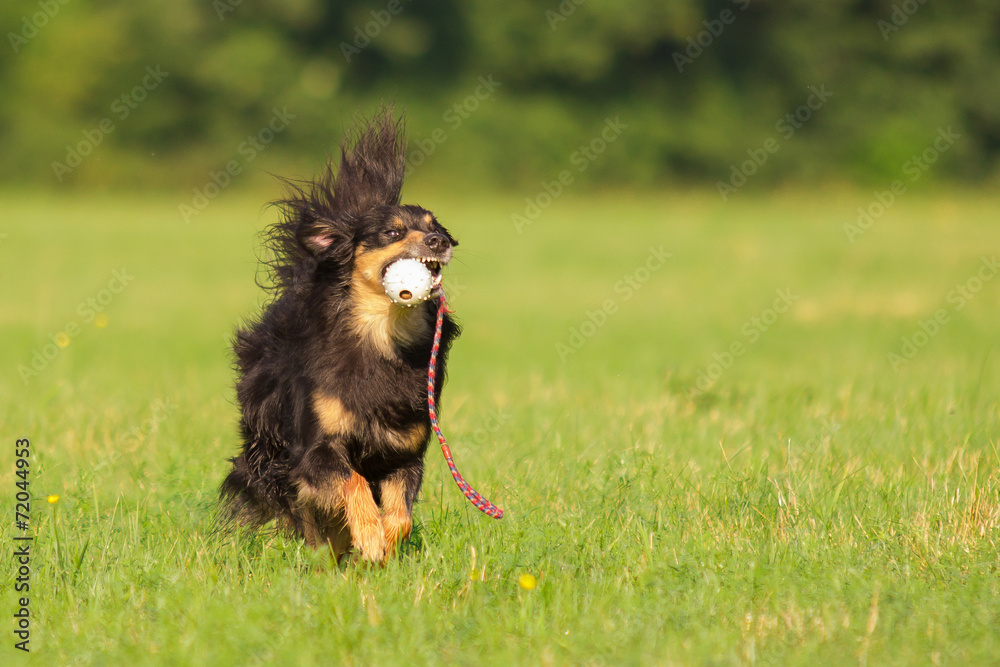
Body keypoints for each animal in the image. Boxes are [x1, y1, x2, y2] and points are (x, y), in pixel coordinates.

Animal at [221, 111, 458, 564]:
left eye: (435, 227)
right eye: (391, 233)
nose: (440, 241)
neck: (382, 336)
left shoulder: (404, 454)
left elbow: (401, 515)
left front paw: (381, 543)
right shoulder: (314, 450)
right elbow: (352, 482)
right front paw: (367, 533)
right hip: (267, 445)